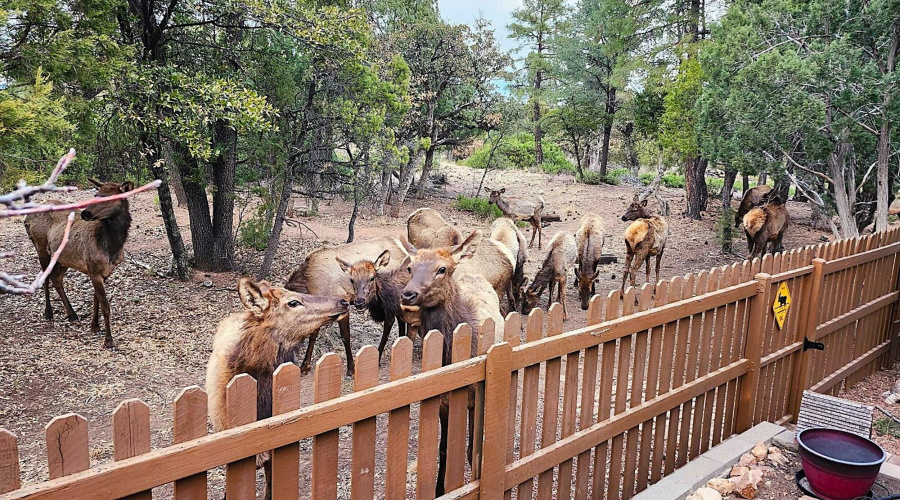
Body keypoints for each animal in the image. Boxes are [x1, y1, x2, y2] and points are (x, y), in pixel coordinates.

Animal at [24, 178, 135, 348]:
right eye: (96, 195)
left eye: (108, 197)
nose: (85, 213)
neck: (112, 247)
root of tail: (26, 219)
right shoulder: (93, 269)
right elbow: (105, 305)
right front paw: (108, 340)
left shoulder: (104, 272)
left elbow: (96, 299)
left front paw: (94, 326)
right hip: (41, 247)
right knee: (45, 278)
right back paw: (49, 312)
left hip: (61, 259)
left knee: (56, 278)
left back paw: (72, 314)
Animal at [285, 236, 409, 377]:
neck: (310, 286)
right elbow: (313, 335)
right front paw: (304, 366)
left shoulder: (344, 303)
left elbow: (345, 336)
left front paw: (351, 368)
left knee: (391, 320)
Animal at [399, 231, 504, 497]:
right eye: (410, 267)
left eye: (442, 269)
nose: (407, 295)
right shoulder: (443, 400)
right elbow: (443, 447)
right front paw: (439, 488)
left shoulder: (477, 394)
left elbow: (472, 447)